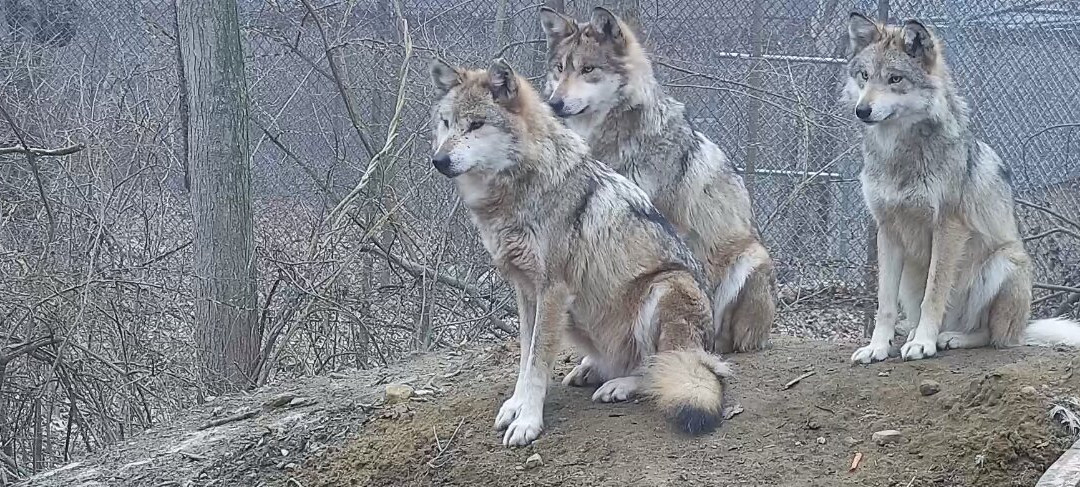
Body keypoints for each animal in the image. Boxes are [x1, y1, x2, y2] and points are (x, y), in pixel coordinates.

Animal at [429, 57, 734, 447]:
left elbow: (538, 363)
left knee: (661, 369)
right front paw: (515, 405)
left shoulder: (553, 290)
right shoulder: (526, 292)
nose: (439, 160)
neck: (515, 193)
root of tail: (707, 350)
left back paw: (619, 386)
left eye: (477, 124)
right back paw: (592, 371)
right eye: (446, 123)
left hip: (665, 285)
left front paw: (528, 421)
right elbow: (526, 358)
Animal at [842, 12, 1080, 367]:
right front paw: (878, 347)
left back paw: (946, 338)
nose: (862, 110)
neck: (899, 155)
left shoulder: (949, 228)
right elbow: (883, 305)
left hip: (1003, 264)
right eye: (865, 76)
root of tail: (1023, 327)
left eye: (895, 79)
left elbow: (935, 293)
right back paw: (915, 335)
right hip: (910, 277)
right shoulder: (887, 230)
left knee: (993, 337)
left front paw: (923, 343)